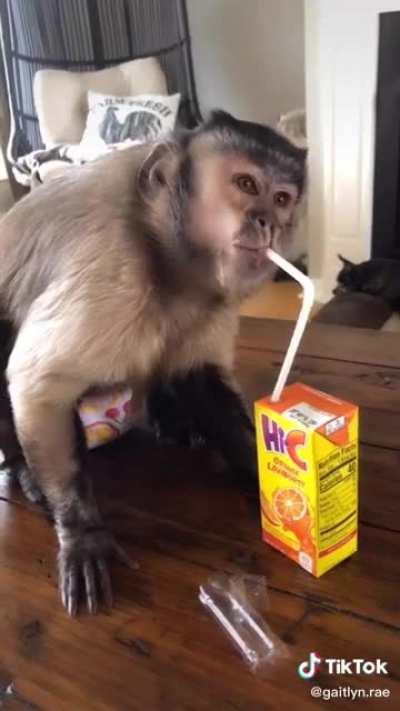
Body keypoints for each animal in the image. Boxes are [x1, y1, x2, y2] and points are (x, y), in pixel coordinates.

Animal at [0, 110, 307, 615]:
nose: (269, 223)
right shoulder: (111, 270)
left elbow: (198, 378)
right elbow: (39, 385)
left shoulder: (213, 296)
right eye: (246, 184)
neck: (164, 250)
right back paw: (25, 471)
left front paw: (261, 472)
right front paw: (82, 531)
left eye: (282, 199)